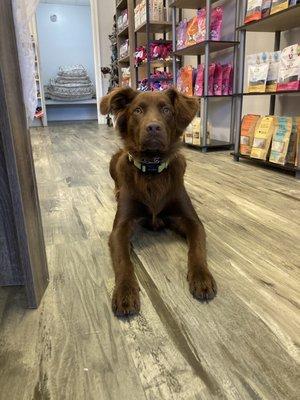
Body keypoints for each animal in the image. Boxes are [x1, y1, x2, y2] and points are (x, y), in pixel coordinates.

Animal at [100, 86, 216, 316]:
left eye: (166, 110)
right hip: (114, 161)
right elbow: (123, 260)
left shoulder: (191, 221)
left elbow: (197, 248)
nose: (153, 127)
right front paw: (125, 292)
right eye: (137, 110)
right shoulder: (120, 228)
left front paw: (201, 278)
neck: (152, 170)